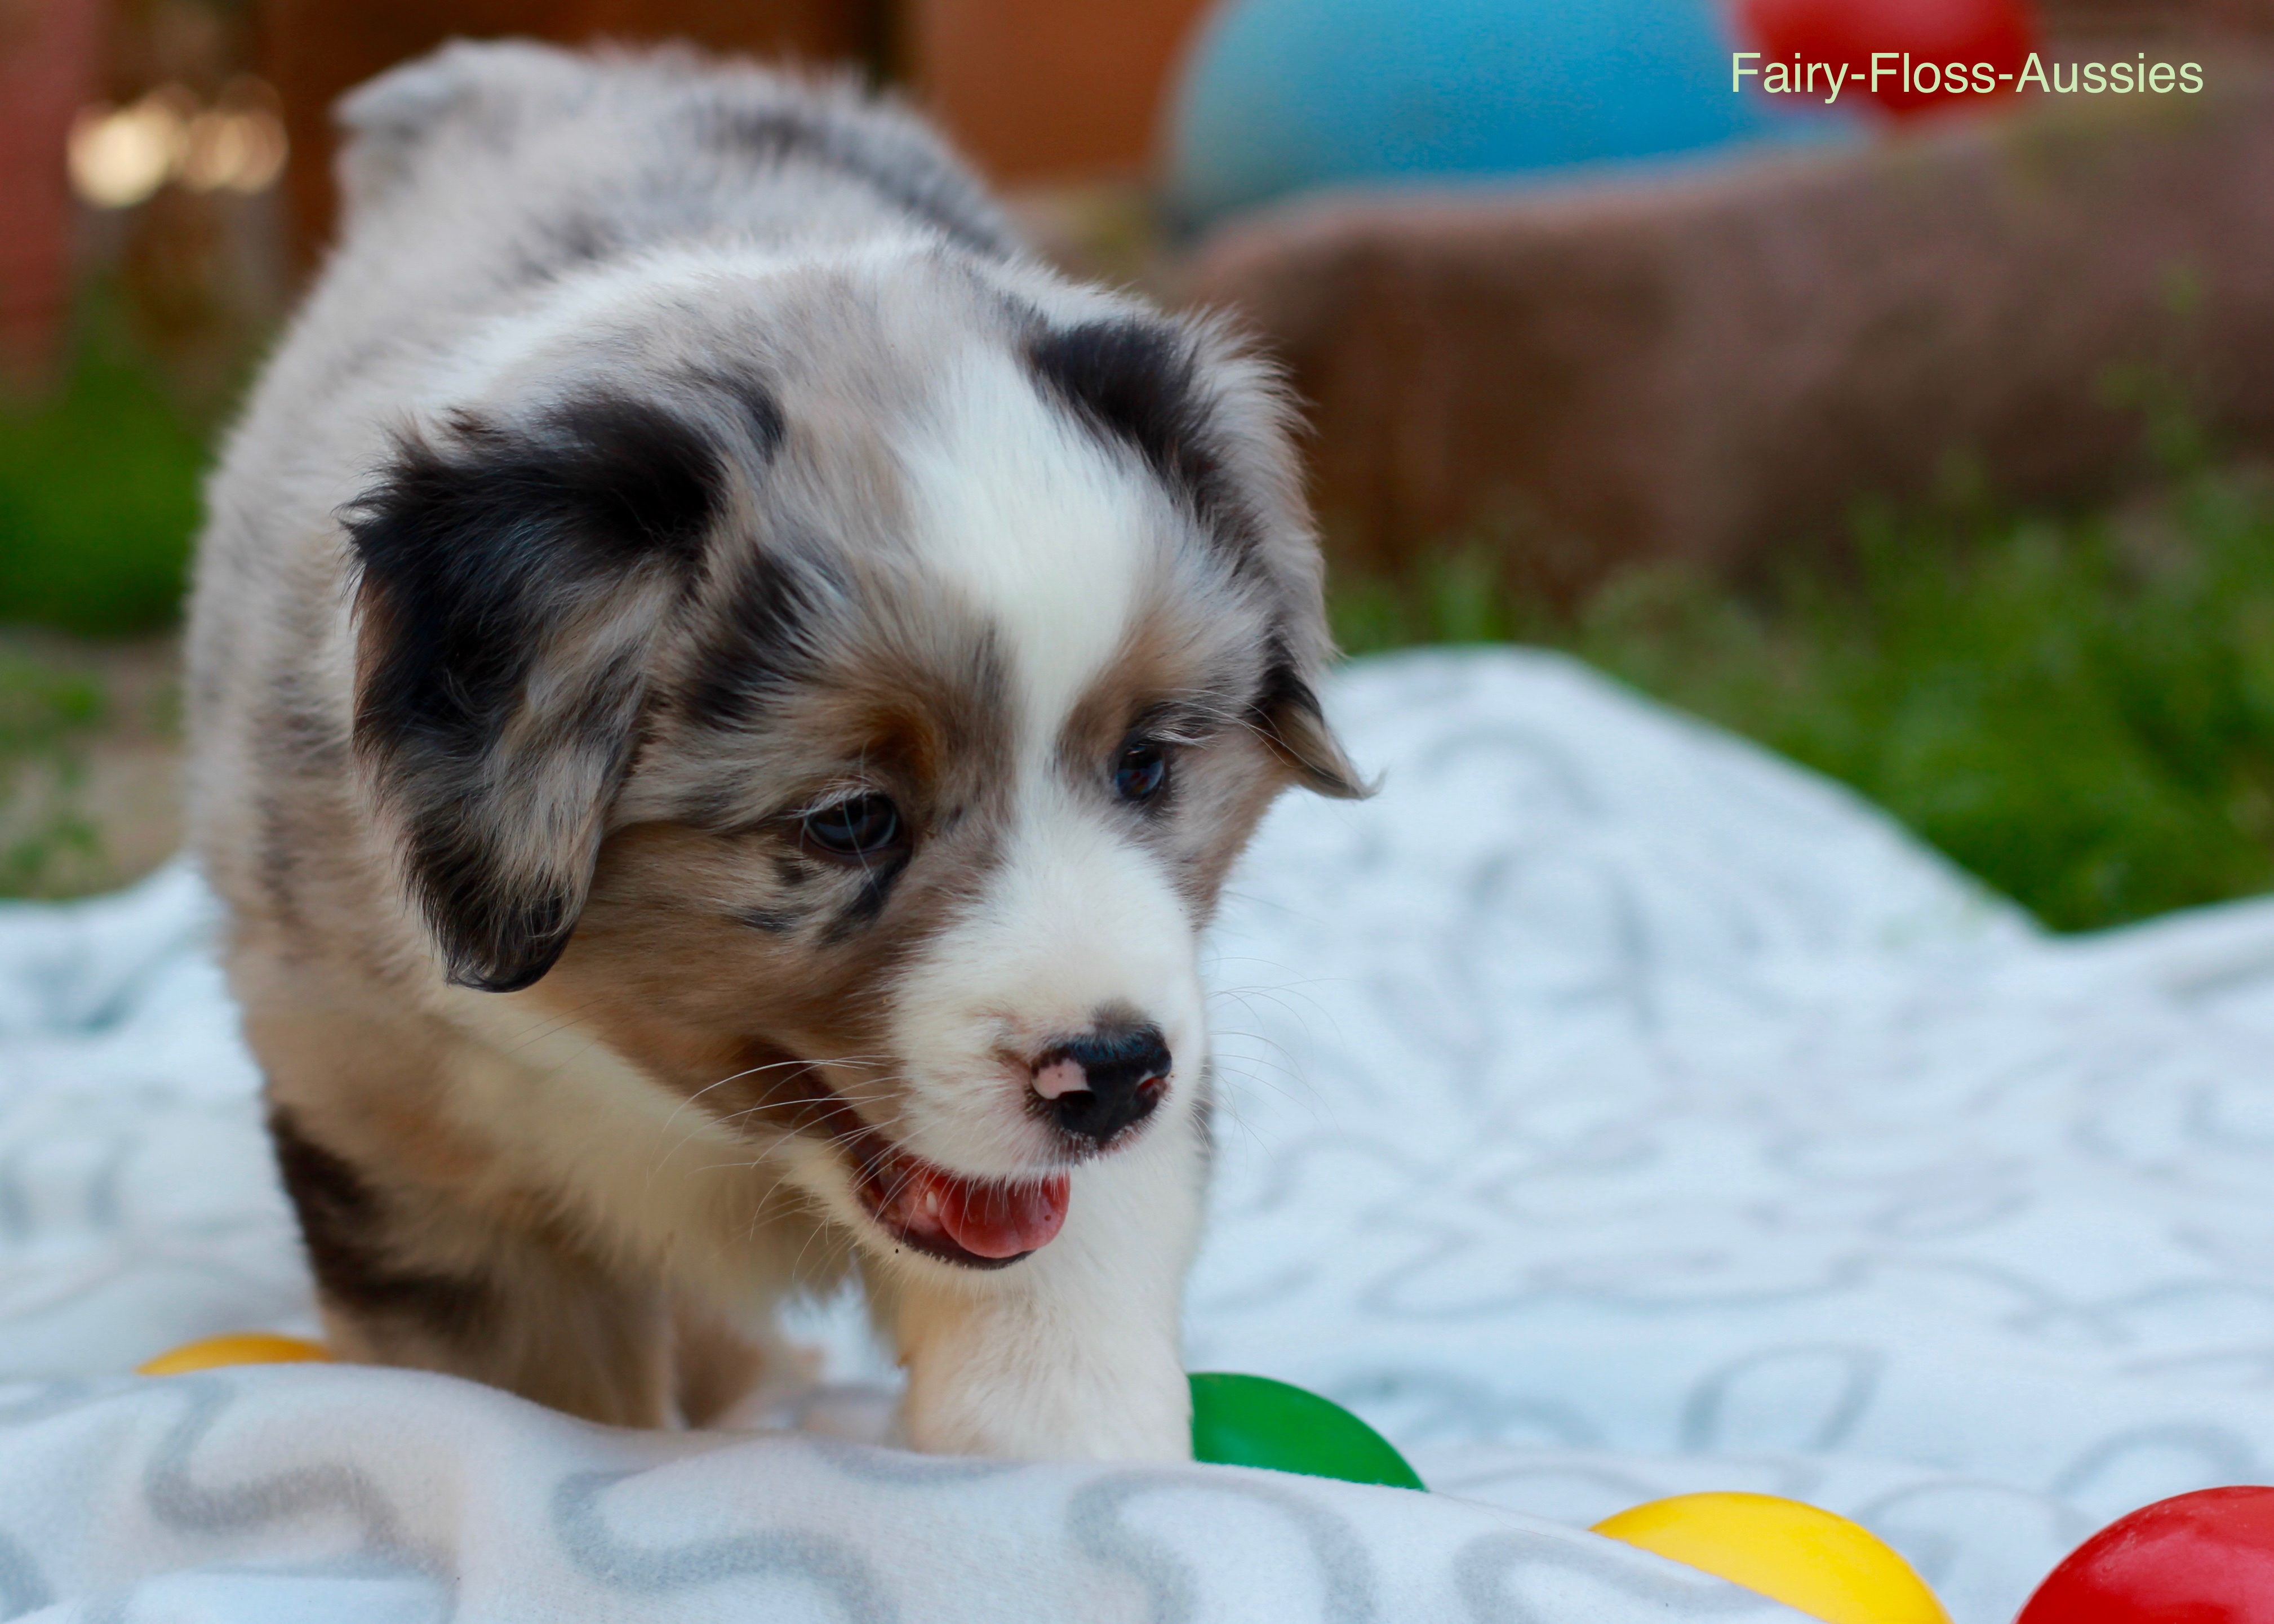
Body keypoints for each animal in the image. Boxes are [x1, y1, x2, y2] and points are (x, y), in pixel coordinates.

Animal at [186, 41, 1355, 1456]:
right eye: (849, 818)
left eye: (1145, 766)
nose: (1118, 1074)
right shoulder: (409, 1147)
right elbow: (527, 1412)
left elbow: (1056, 1357)